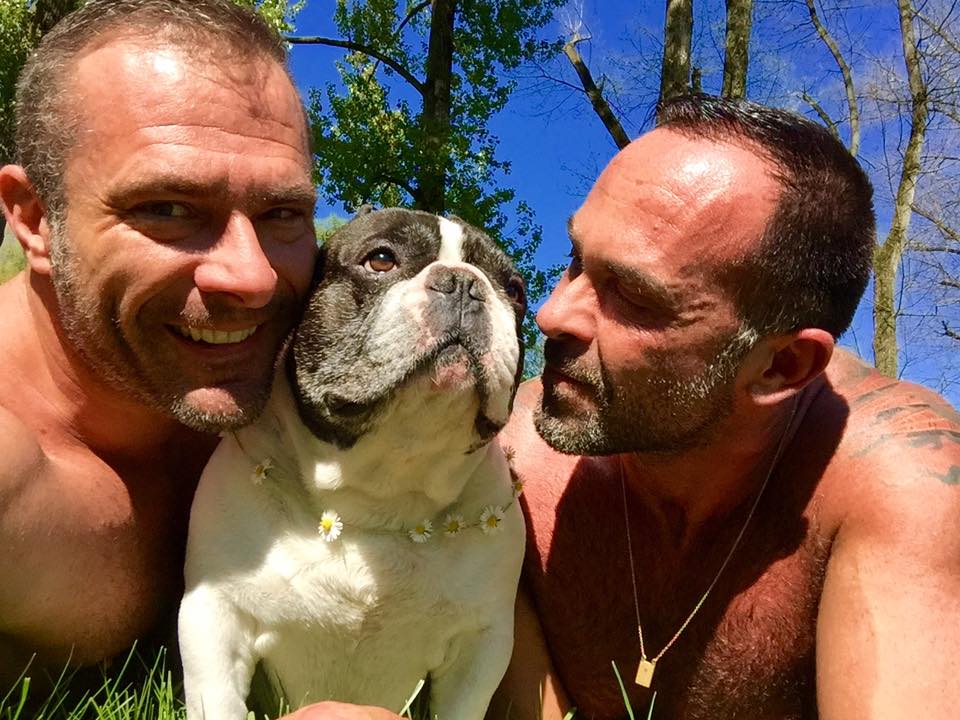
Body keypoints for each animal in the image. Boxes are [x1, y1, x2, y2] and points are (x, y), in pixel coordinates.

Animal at [178, 208, 527, 720]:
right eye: (381, 259)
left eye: (516, 291)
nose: (463, 283)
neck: (377, 493)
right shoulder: (215, 616)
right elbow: (219, 701)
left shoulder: (480, 643)